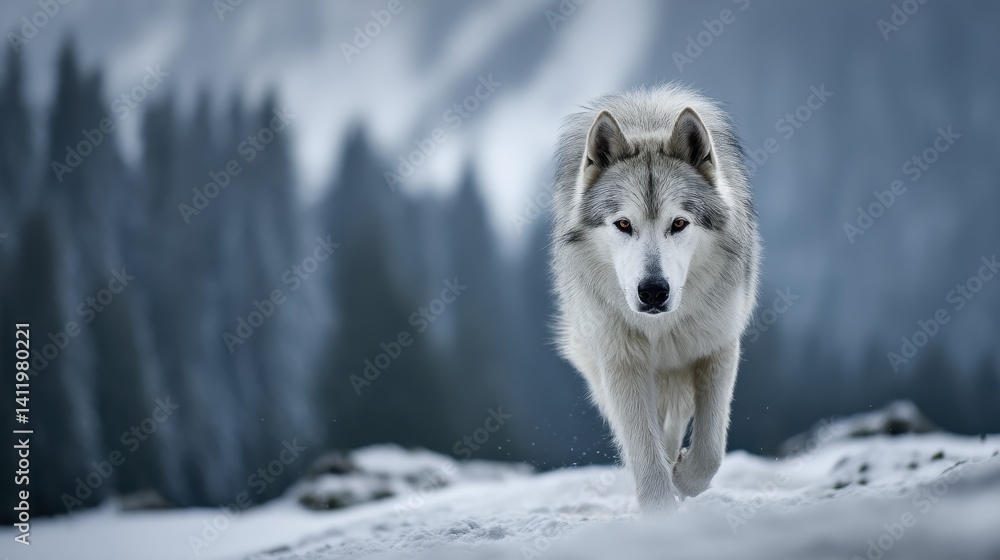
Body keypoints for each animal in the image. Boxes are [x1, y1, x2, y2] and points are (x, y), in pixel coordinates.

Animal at [550, 84, 760, 514]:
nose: (652, 291)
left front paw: (684, 479)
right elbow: (643, 449)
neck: (659, 326)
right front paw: (661, 510)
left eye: (678, 223)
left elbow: (711, 447)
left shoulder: (717, 349)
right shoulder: (621, 363)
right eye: (623, 224)